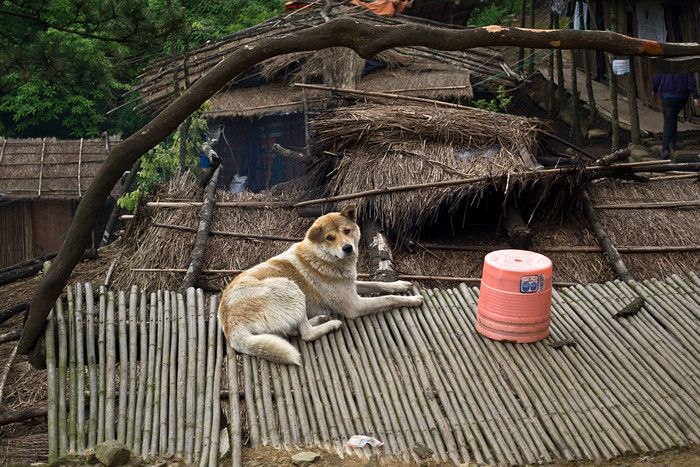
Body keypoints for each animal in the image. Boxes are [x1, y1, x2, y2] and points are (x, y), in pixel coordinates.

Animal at [219, 206, 424, 366]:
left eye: (347, 231)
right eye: (329, 237)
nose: (348, 248)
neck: (323, 258)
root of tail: (230, 327)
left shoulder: (351, 286)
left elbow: (377, 284)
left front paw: (400, 284)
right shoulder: (354, 306)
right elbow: (388, 299)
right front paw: (413, 299)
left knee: (295, 330)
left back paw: (321, 318)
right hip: (290, 287)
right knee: (306, 334)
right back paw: (331, 324)